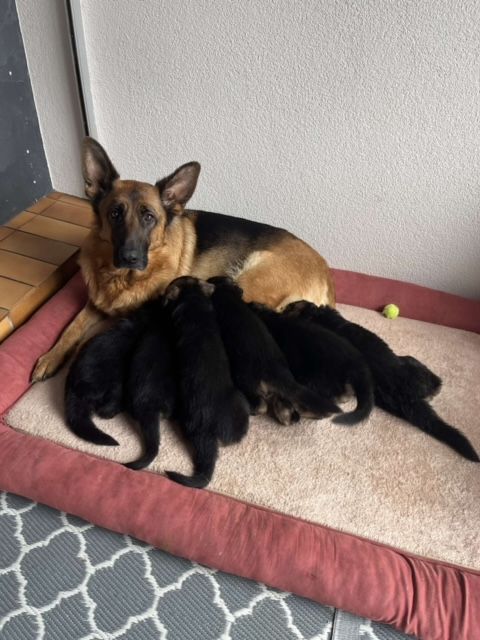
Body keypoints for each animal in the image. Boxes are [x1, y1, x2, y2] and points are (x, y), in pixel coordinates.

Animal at [31, 138, 336, 382]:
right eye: (115, 214)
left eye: (149, 217)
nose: (130, 257)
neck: (123, 279)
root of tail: (324, 271)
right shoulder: (95, 304)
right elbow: (70, 328)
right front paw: (51, 357)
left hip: (247, 281)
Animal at [284, 302, 480, 462]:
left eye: (289, 306)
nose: (281, 310)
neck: (316, 315)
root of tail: (404, 394)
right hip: (410, 363)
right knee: (429, 378)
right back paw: (437, 386)